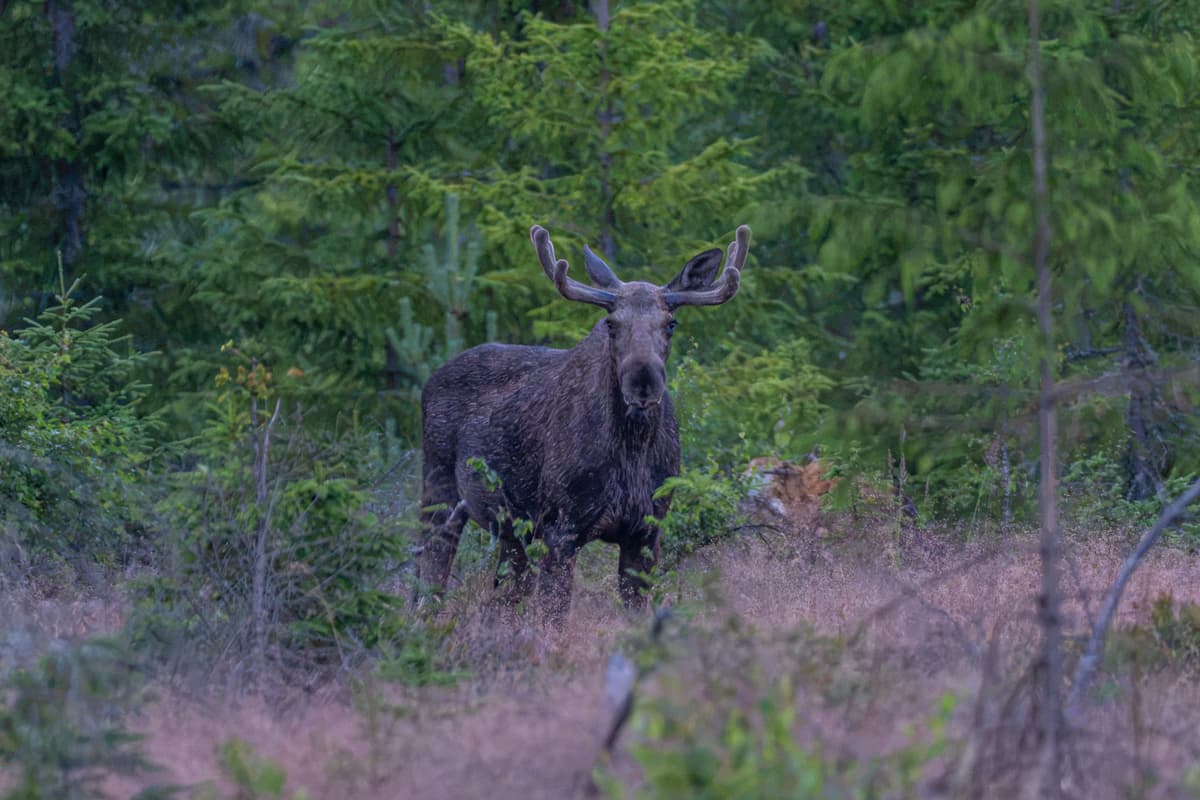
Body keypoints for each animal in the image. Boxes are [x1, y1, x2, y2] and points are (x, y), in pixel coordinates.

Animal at [413, 224, 750, 622]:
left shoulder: (649, 529)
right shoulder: (560, 525)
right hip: (438, 487)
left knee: (503, 593)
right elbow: (553, 615)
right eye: (611, 323)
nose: (643, 382)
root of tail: (431, 379)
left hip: (511, 530)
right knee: (429, 575)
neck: (631, 453)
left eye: (671, 323)